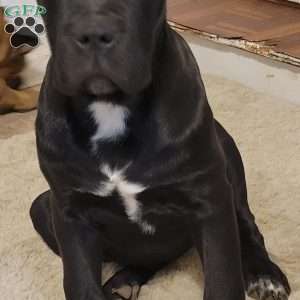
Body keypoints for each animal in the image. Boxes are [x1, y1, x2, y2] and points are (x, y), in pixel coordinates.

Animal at [30, 0, 290, 300]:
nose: (93, 33)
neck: (111, 105)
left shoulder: (210, 201)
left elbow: (222, 278)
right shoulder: (70, 213)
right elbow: (80, 284)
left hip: (229, 166)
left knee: (247, 224)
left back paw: (264, 276)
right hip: (41, 207)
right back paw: (124, 283)